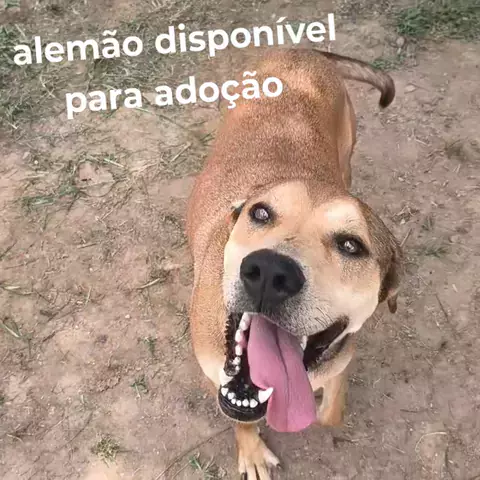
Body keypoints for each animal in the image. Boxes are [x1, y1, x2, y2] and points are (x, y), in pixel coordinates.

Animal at [186, 46, 403, 479]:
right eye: (260, 213)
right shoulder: (215, 375)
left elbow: (329, 407)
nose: (270, 272)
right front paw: (252, 450)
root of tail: (302, 49)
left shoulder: (337, 360)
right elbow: (242, 420)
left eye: (352, 245)